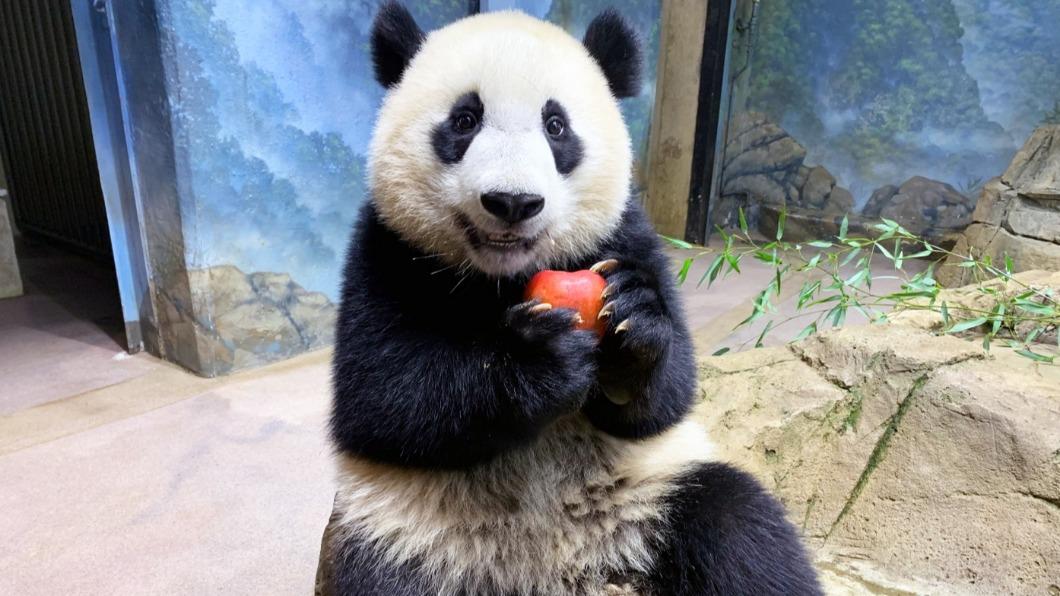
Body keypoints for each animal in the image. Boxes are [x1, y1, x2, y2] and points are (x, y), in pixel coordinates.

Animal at [326, 2, 822, 589]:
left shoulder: (625, 233)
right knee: (382, 578)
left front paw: (634, 321)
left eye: (555, 125)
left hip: (653, 492)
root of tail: (565, 571)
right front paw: (538, 361)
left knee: (741, 530)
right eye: (464, 120)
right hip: (413, 533)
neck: (503, 276)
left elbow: (668, 397)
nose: (512, 202)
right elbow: (382, 396)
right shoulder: (386, 250)